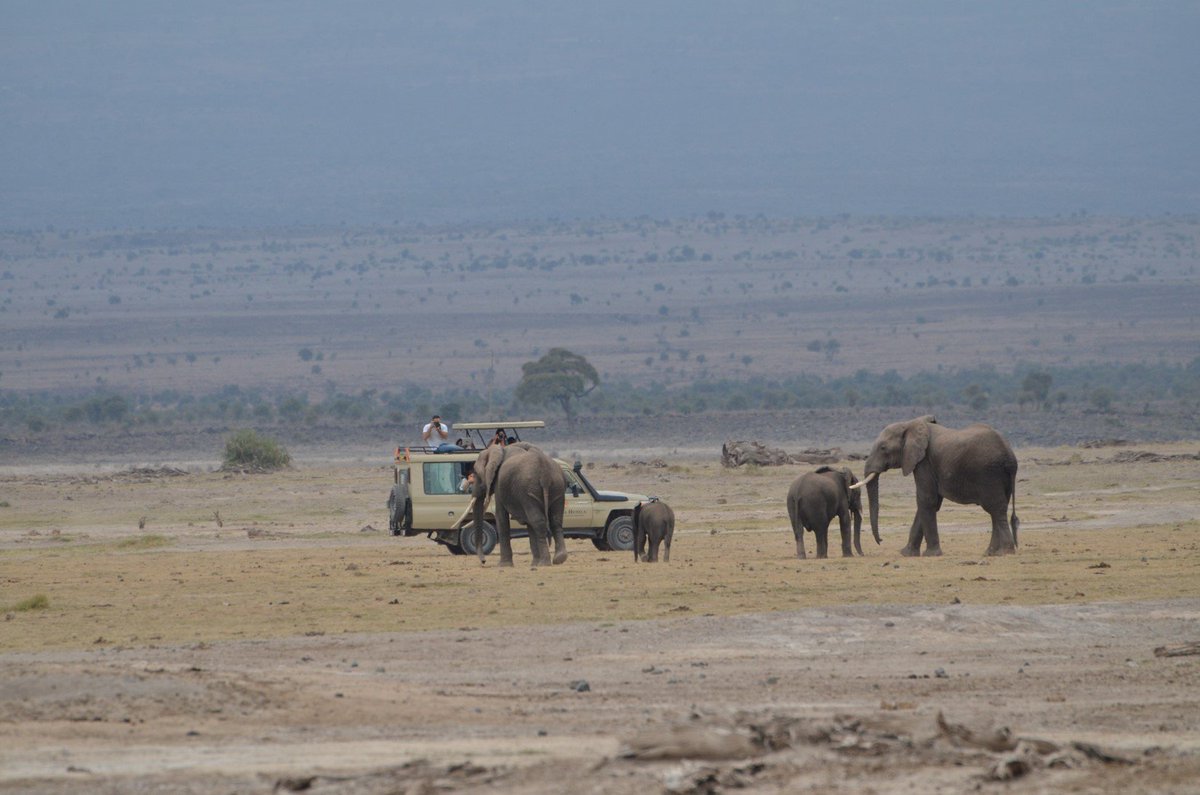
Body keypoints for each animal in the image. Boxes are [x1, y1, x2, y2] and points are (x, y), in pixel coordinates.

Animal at [854, 416, 1019, 557]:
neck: (910, 424)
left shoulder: (924, 462)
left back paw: (1005, 551)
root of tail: (1010, 455)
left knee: (996, 509)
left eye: (883, 448)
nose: (880, 540)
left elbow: (926, 500)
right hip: (1001, 476)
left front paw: (930, 554)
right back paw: (991, 552)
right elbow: (931, 502)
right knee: (997, 510)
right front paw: (906, 553)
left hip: (989, 474)